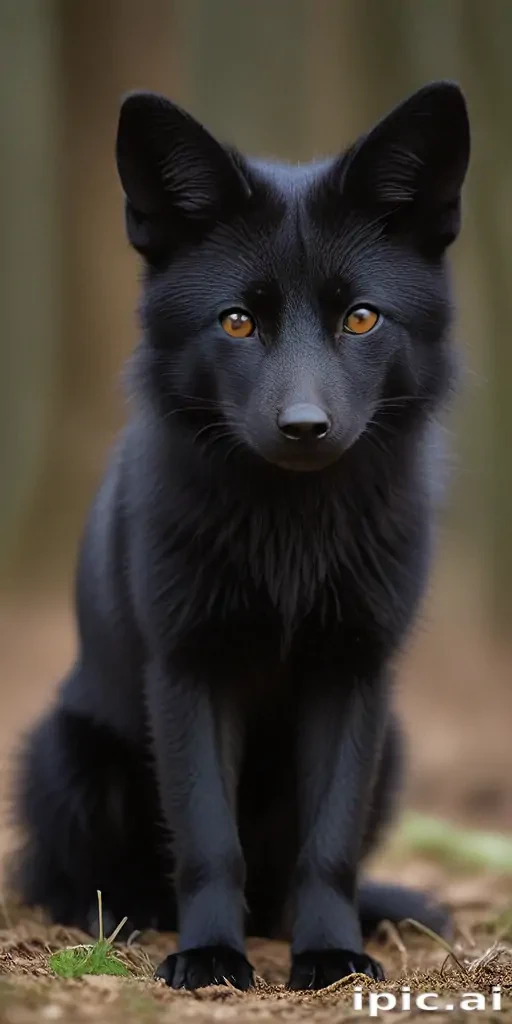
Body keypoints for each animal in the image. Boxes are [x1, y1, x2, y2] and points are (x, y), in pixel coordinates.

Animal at [11, 81, 469, 990]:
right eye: (235, 323)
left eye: (361, 319)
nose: (304, 428)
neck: (290, 533)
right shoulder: (190, 669)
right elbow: (207, 840)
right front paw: (210, 958)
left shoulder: (351, 673)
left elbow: (328, 847)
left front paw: (328, 956)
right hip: (65, 753)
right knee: (66, 877)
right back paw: (128, 920)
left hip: (394, 744)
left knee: (291, 881)